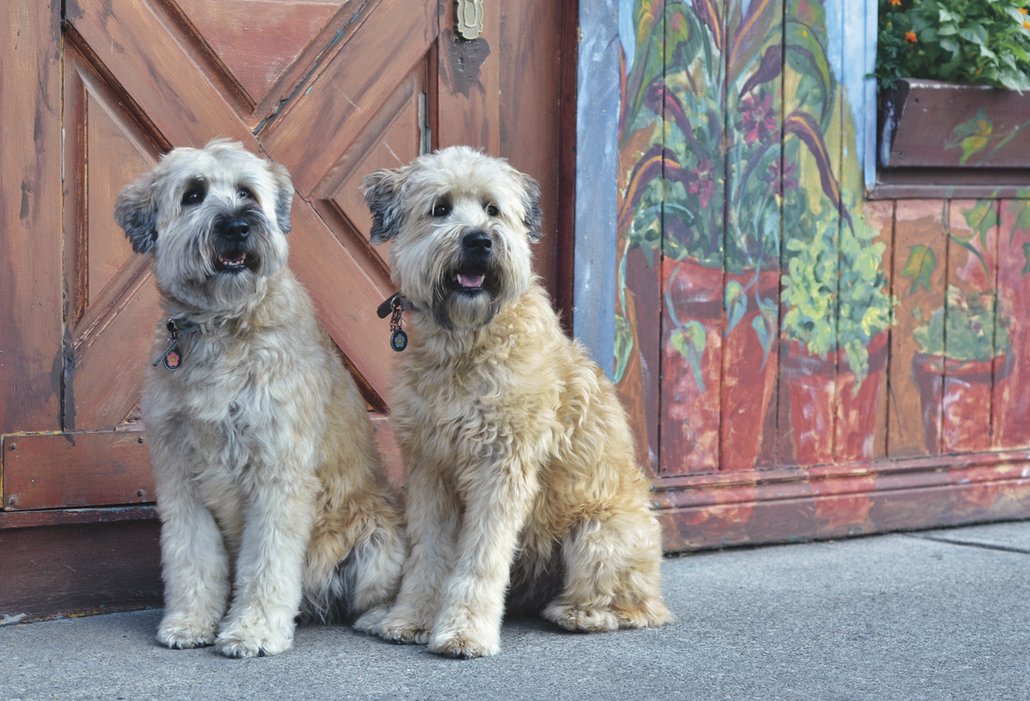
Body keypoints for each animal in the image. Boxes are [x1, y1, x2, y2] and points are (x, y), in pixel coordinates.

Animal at [112, 137, 401, 654]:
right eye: (192, 195)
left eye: (247, 192)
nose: (236, 226)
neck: (222, 325)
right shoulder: (179, 474)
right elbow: (191, 556)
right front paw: (190, 621)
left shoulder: (278, 470)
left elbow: (267, 561)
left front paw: (254, 629)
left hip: (376, 536)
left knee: (375, 593)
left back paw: (380, 618)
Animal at [362, 146, 675, 654]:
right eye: (440, 208)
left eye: (493, 209)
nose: (479, 241)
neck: (466, 345)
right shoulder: (429, 468)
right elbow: (427, 556)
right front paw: (411, 618)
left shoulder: (502, 467)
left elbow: (480, 559)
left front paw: (464, 630)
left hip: (600, 533)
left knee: (636, 608)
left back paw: (580, 613)